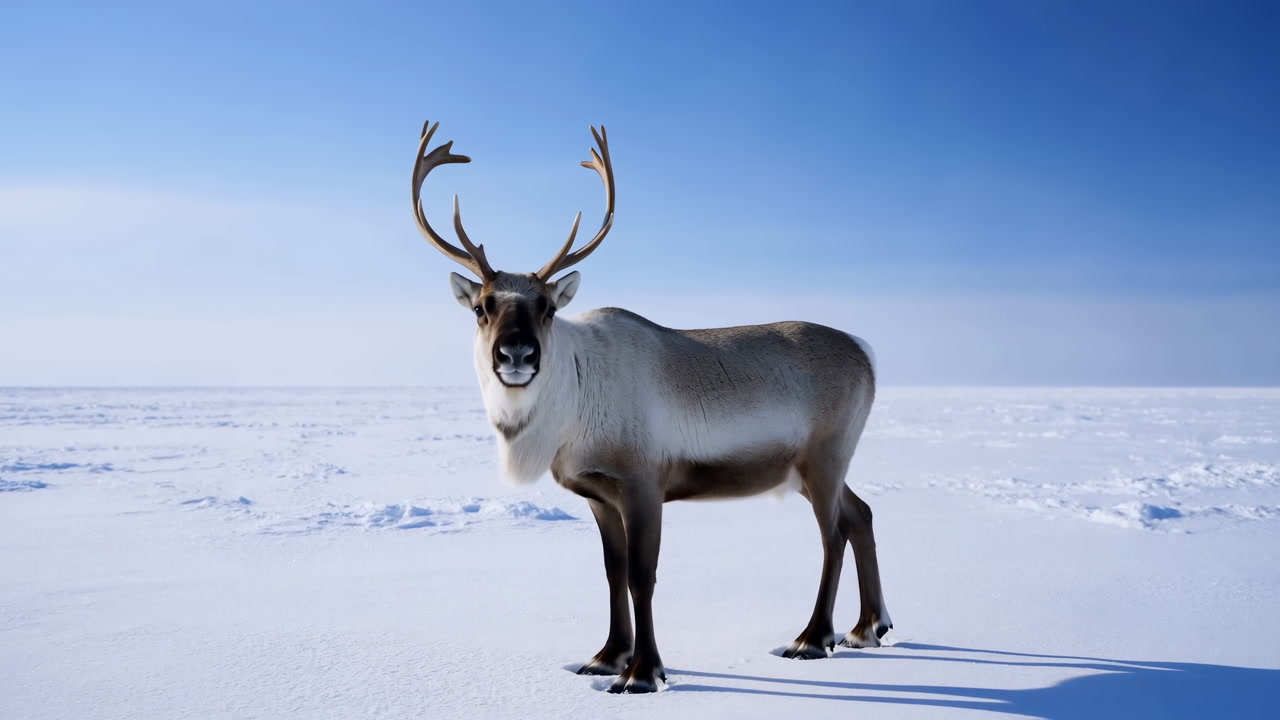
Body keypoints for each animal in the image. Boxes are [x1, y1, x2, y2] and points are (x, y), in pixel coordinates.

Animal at [410, 120, 890, 694]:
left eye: (546, 307)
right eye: (483, 307)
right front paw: (606, 656)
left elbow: (643, 576)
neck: (571, 409)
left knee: (834, 534)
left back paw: (813, 638)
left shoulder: (643, 483)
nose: (517, 354)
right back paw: (868, 627)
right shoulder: (598, 493)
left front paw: (642, 671)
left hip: (824, 458)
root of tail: (866, 353)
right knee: (861, 513)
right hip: (809, 468)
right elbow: (612, 572)